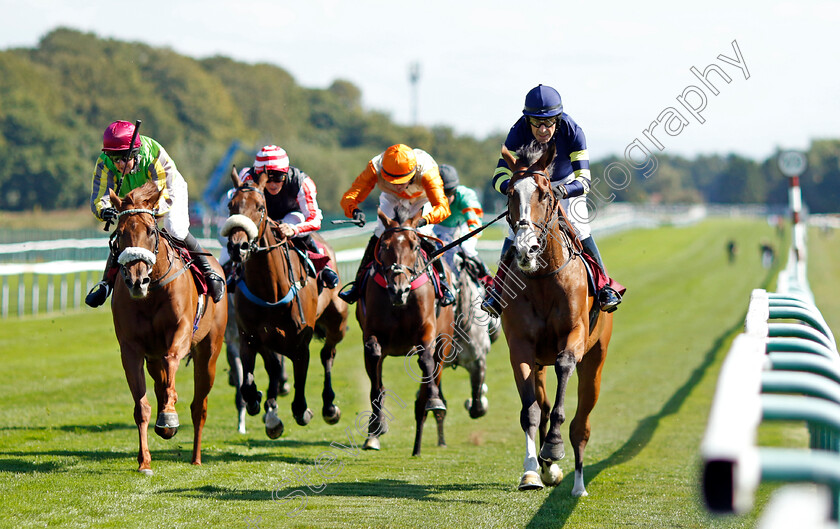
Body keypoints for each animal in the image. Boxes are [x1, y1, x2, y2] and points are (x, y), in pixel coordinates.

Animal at [108, 182, 226, 474]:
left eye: (151, 230)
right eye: (120, 233)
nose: (137, 280)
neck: (152, 293)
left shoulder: (181, 331)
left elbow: (172, 359)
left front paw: (170, 417)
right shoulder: (132, 349)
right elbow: (141, 406)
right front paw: (144, 461)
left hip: (209, 351)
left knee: (199, 405)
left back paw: (195, 456)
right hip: (152, 358)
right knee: (161, 384)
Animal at [220, 169, 348, 438]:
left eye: (260, 207)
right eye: (231, 205)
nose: (238, 246)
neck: (271, 290)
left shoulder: (300, 343)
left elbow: (299, 398)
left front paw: (302, 410)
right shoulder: (249, 337)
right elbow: (249, 384)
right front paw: (263, 406)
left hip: (337, 322)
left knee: (327, 354)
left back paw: (330, 407)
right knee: (275, 368)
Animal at [358, 206, 456, 454]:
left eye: (414, 245)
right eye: (384, 245)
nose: (398, 289)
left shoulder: (427, 331)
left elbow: (425, 361)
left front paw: (434, 400)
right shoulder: (372, 333)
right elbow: (375, 367)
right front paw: (377, 423)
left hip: (445, 343)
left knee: (430, 378)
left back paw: (418, 444)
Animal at [502, 141, 612, 496]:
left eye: (546, 194)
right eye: (510, 192)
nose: (526, 249)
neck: (543, 279)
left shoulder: (575, 335)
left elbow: (565, 365)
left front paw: (553, 446)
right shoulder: (521, 347)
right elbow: (531, 412)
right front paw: (531, 472)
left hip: (595, 361)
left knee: (581, 426)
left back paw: (577, 484)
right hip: (540, 363)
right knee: (544, 406)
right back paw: (546, 469)